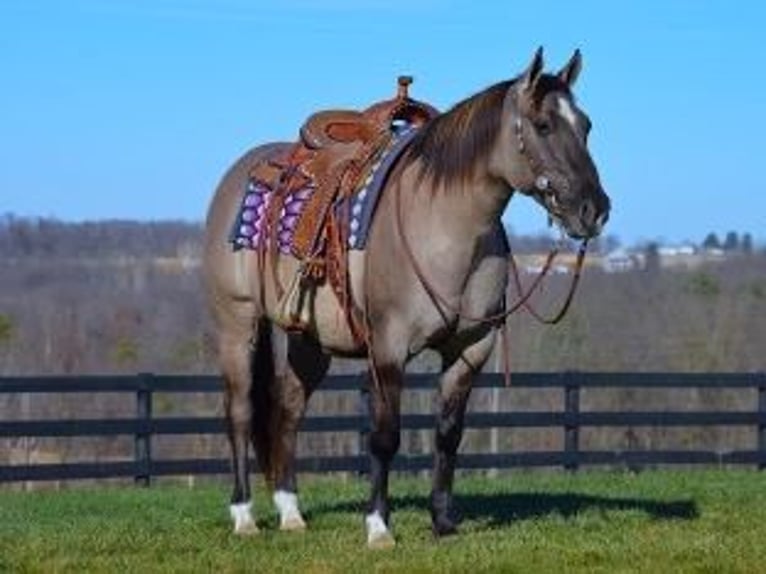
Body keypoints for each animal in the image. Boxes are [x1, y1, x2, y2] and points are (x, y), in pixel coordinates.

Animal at [202, 48, 612, 548]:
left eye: (586, 125)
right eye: (543, 125)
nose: (594, 210)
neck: (444, 226)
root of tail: (239, 172)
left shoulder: (470, 351)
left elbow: (448, 435)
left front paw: (443, 521)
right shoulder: (388, 350)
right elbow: (385, 436)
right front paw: (379, 525)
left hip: (310, 341)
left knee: (288, 410)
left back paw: (291, 512)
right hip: (237, 325)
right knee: (240, 412)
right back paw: (244, 516)